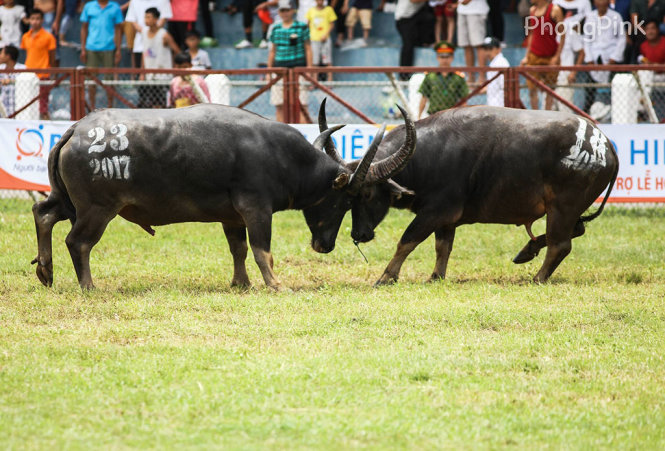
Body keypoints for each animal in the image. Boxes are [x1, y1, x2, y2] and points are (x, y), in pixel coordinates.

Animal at [33, 102, 416, 290]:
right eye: (349, 199)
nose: (327, 245)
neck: (280, 155)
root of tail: (76, 129)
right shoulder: (256, 209)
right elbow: (263, 251)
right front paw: (276, 285)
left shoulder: (232, 216)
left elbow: (239, 249)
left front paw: (241, 283)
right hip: (96, 209)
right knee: (78, 242)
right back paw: (88, 285)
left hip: (69, 201)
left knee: (43, 211)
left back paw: (46, 272)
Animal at [332, 106, 616, 284]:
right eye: (348, 199)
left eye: (367, 194)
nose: (359, 234)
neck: (428, 158)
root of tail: (605, 145)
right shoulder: (445, 220)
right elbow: (442, 247)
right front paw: (435, 277)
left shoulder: (435, 212)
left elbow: (407, 241)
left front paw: (386, 277)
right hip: (567, 210)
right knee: (577, 230)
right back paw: (527, 250)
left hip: (563, 207)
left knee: (561, 244)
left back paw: (537, 277)